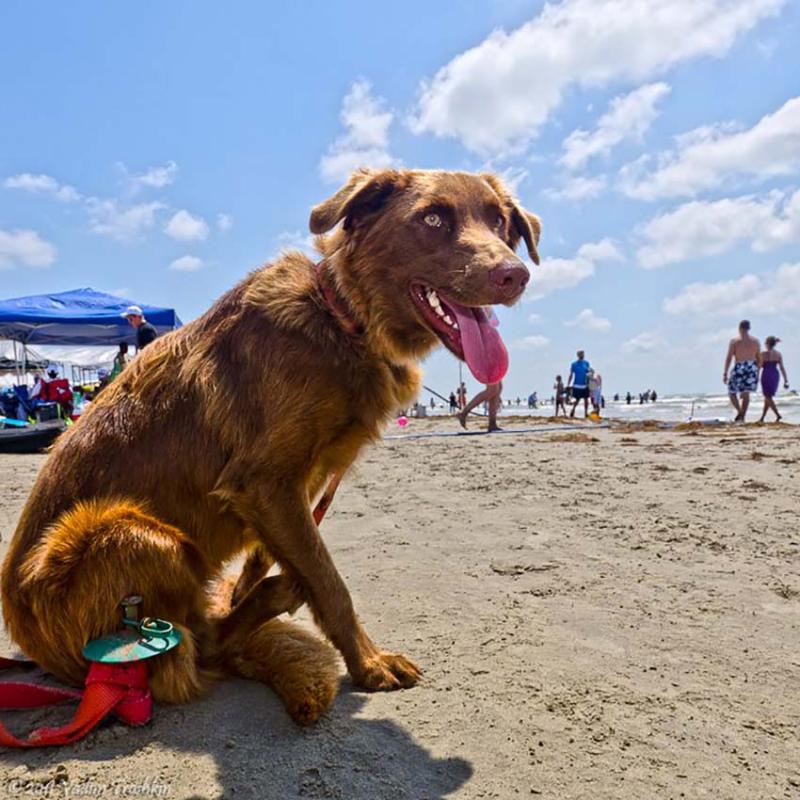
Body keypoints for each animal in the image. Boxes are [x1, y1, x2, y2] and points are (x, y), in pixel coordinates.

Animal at [3, 169, 540, 724]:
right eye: (432, 218)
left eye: (500, 222)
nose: (514, 276)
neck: (342, 322)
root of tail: (38, 653)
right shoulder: (264, 484)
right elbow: (328, 580)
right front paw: (367, 662)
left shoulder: (290, 489)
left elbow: (276, 552)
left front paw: (252, 587)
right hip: (132, 536)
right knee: (200, 647)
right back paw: (268, 601)